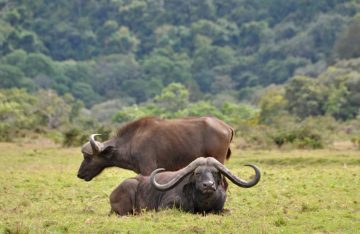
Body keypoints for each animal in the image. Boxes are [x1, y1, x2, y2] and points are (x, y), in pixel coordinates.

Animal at [109, 157, 262, 216]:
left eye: (215, 172)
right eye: (197, 173)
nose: (208, 185)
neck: (203, 203)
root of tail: (112, 195)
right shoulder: (166, 206)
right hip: (129, 188)